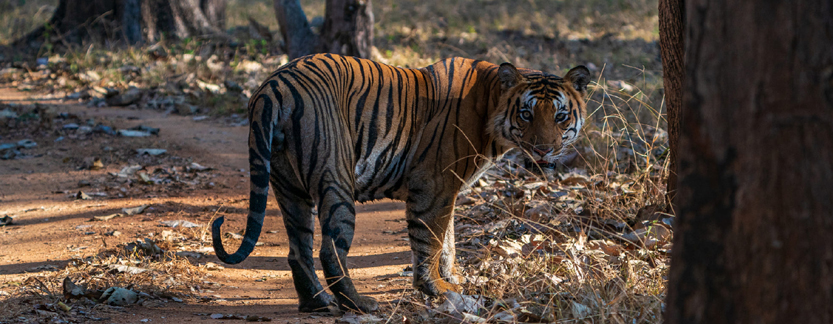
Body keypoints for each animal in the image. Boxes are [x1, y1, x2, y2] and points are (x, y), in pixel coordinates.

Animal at [211, 53, 588, 314]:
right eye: (526, 114)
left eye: (560, 116)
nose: (544, 149)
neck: (491, 108)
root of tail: (273, 88)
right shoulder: (435, 184)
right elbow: (431, 240)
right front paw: (437, 289)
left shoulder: (448, 190)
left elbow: (448, 240)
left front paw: (453, 279)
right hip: (336, 180)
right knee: (329, 250)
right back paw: (358, 304)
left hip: (287, 186)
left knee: (297, 250)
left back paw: (317, 303)